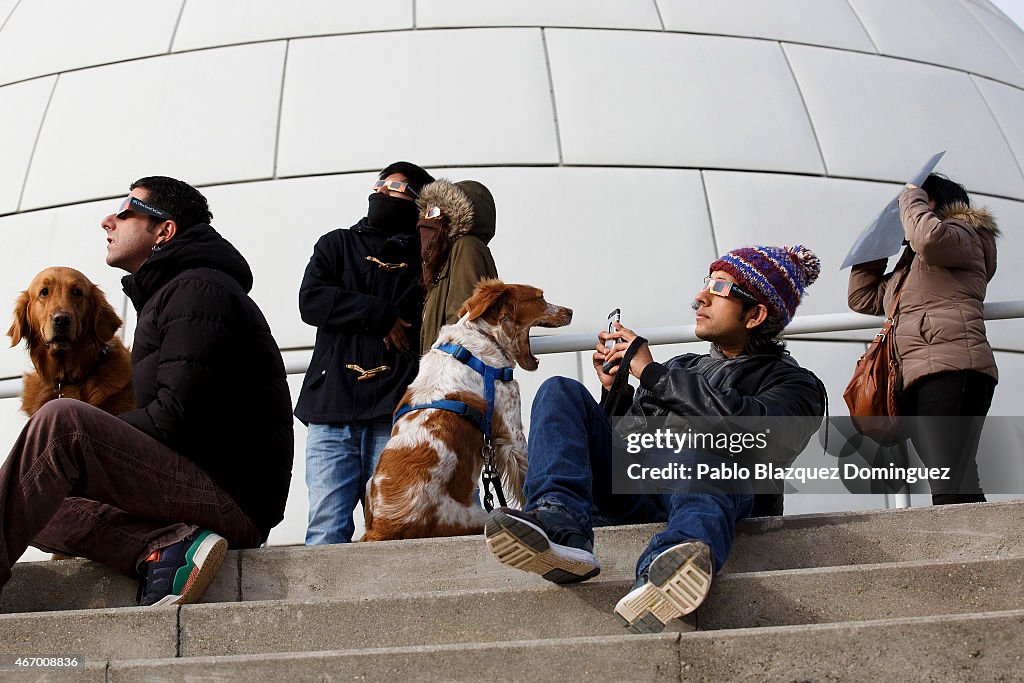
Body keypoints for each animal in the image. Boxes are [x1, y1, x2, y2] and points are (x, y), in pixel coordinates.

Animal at [364, 280, 573, 540]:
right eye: (540, 298)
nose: (570, 311)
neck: (483, 338)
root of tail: (382, 527)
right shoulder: (513, 432)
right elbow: (526, 478)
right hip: (477, 515)